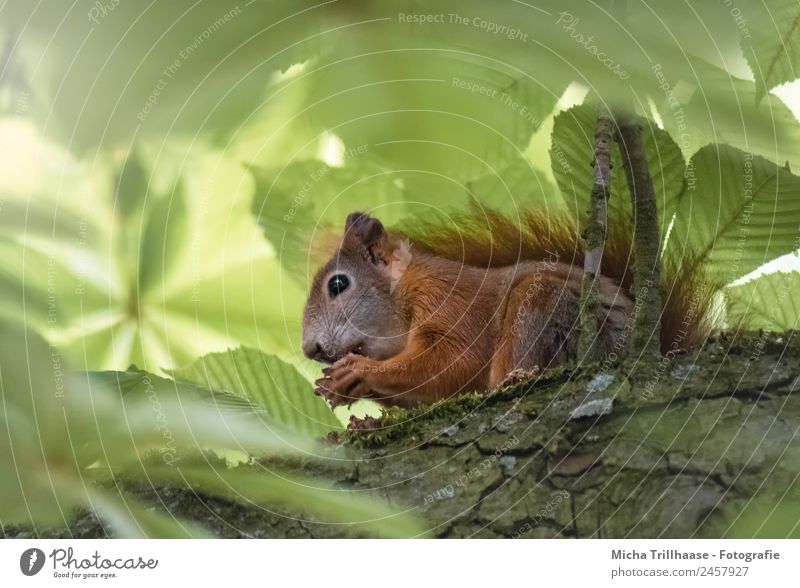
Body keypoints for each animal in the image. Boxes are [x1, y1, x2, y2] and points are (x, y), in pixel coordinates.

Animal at [304, 211, 716, 408]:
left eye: (338, 285)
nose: (311, 350)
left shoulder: (449, 302)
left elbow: (455, 361)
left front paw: (361, 371)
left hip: (539, 306)